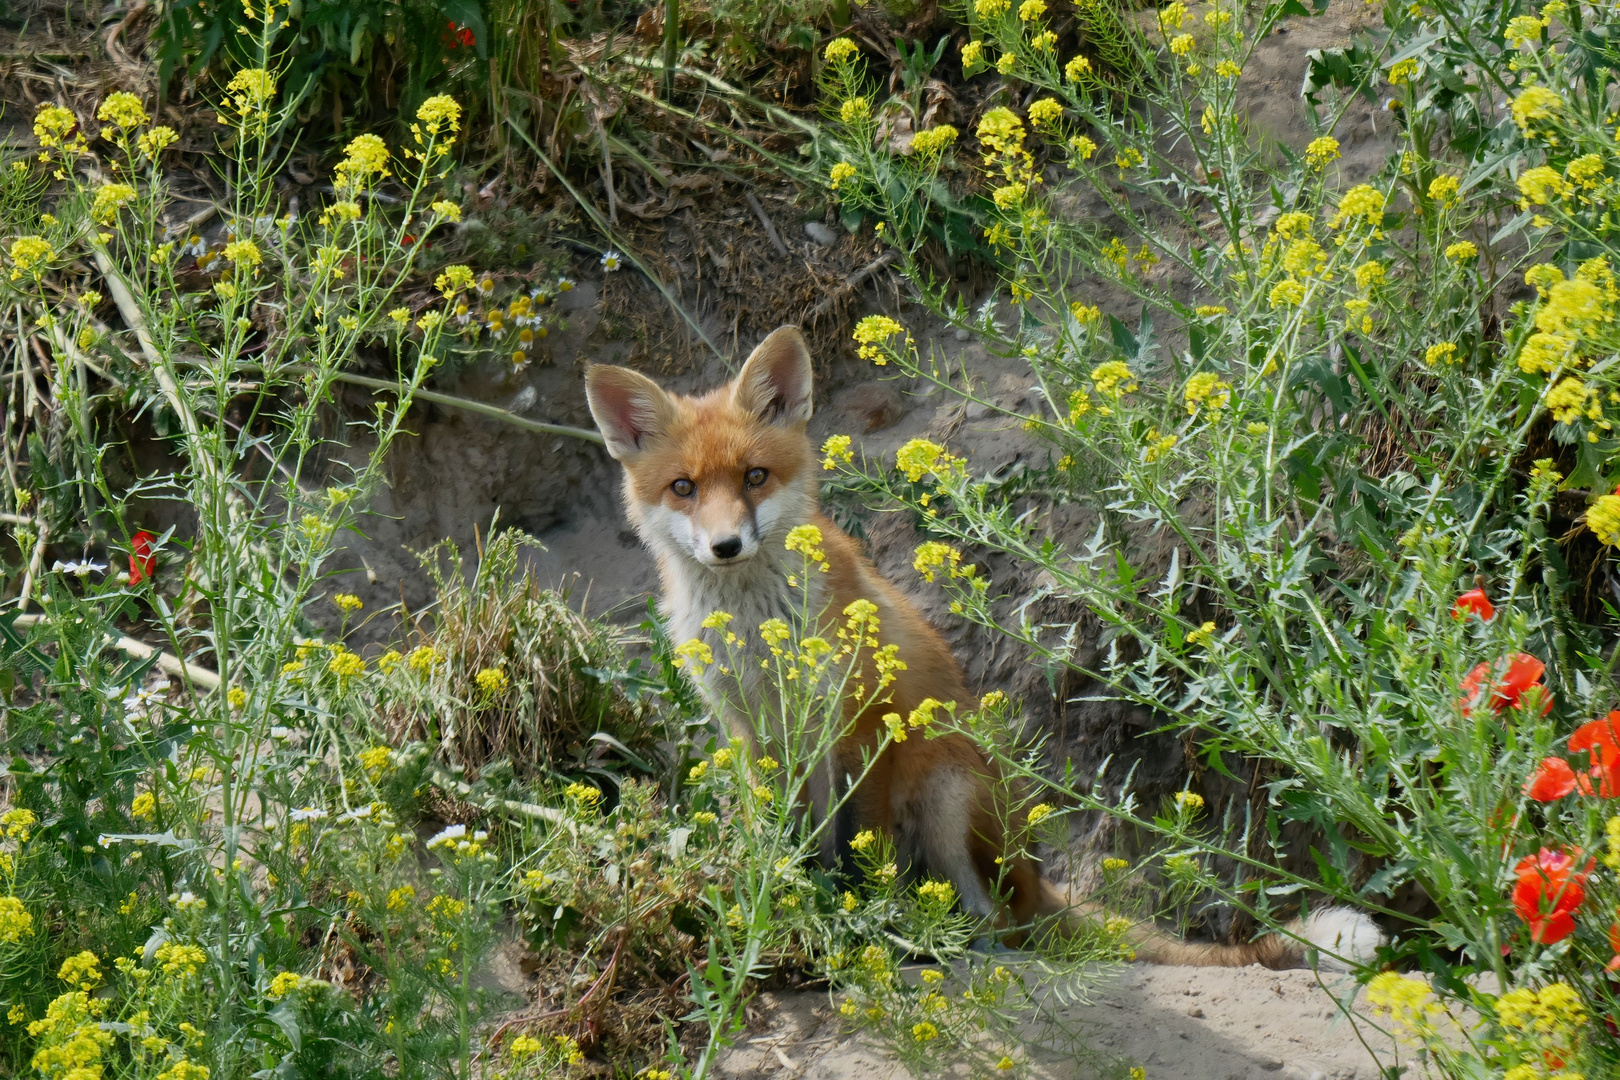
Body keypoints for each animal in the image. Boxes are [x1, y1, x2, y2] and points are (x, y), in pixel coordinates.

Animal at [586, 325, 1380, 965]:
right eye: (683, 487)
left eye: (755, 476)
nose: (725, 546)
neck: (756, 631)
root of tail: (1039, 878)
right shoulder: (746, 728)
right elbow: (780, 840)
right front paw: (782, 896)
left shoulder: (864, 724)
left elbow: (857, 845)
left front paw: (856, 911)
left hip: (950, 791)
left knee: (1004, 924)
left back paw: (945, 936)